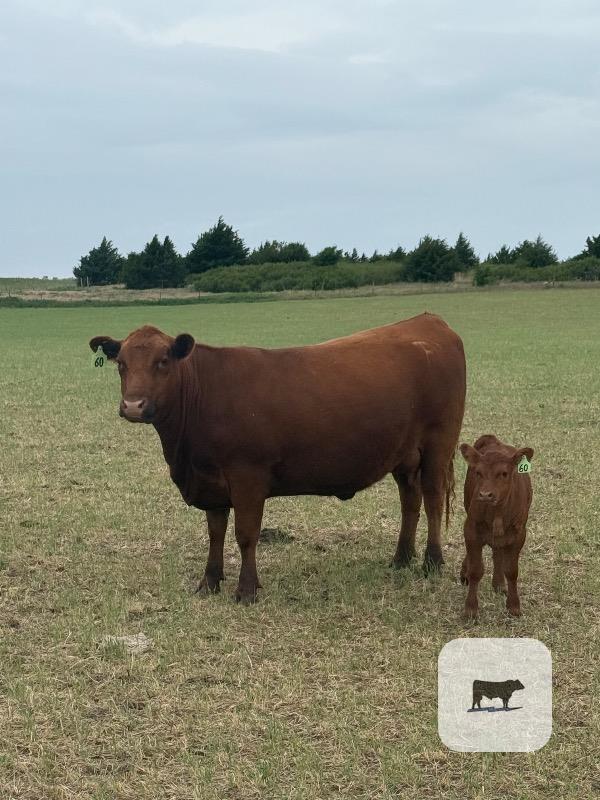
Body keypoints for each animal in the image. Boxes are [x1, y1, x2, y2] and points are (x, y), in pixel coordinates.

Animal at [90, 313, 466, 604]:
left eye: (163, 362)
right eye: (121, 364)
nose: (133, 406)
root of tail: (428, 321)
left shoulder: (247, 477)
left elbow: (245, 534)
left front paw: (246, 590)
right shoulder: (211, 482)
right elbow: (215, 533)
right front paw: (209, 582)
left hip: (438, 446)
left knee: (432, 500)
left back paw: (432, 562)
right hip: (404, 456)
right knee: (410, 502)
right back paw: (401, 558)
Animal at [459, 434, 534, 618]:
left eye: (504, 473)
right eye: (478, 472)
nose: (485, 495)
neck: (497, 513)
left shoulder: (519, 534)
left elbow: (512, 571)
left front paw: (514, 606)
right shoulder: (470, 528)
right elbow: (476, 570)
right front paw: (471, 609)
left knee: (497, 551)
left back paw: (499, 583)